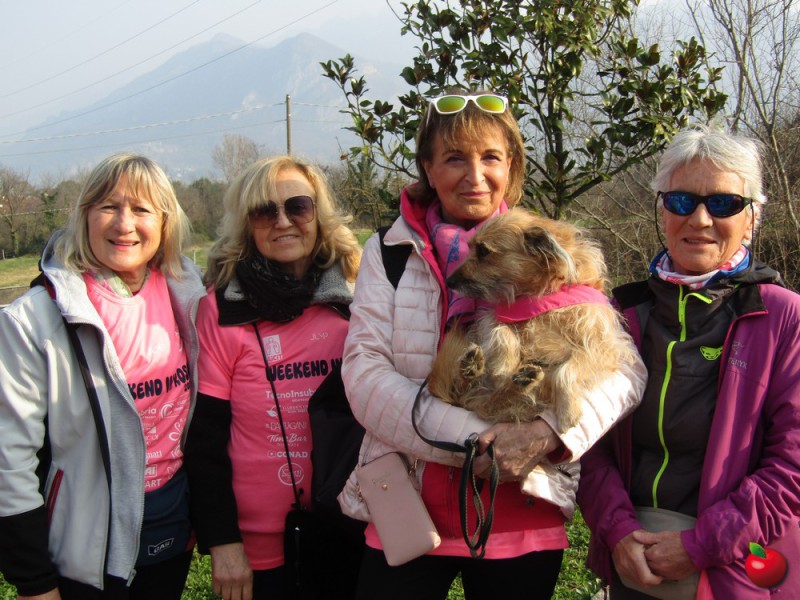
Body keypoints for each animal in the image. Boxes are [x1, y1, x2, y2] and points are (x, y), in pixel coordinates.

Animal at [427, 208, 636, 433]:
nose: (449, 281)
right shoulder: (492, 317)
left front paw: (568, 410)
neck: (539, 293)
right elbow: (500, 329)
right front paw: (504, 364)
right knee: (471, 392)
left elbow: (566, 371)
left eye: (483, 251)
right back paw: (472, 368)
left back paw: (518, 380)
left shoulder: (602, 346)